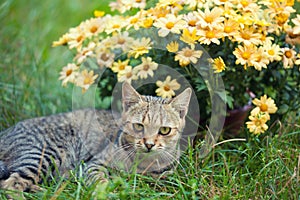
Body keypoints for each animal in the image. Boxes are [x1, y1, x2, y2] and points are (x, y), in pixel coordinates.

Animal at [0, 82, 191, 193]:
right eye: (138, 126)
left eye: (164, 130)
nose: (149, 144)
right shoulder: (93, 164)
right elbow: (100, 180)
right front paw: (107, 190)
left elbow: (159, 175)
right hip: (43, 154)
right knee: (10, 184)